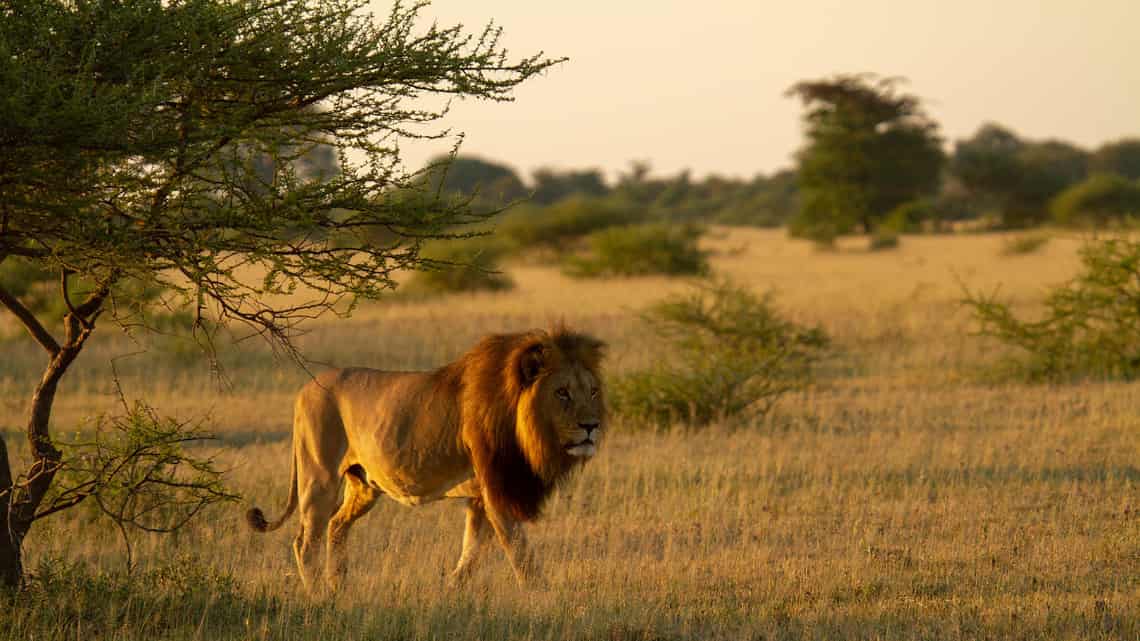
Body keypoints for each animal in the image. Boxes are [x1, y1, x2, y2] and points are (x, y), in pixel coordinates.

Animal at [246, 326, 606, 593]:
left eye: (592, 391)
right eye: (562, 393)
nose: (592, 426)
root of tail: (305, 387)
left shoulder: (481, 496)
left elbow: (473, 550)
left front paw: (453, 589)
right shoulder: (497, 491)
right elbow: (520, 551)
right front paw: (540, 596)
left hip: (364, 486)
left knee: (336, 525)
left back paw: (339, 586)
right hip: (318, 477)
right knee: (305, 541)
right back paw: (318, 594)